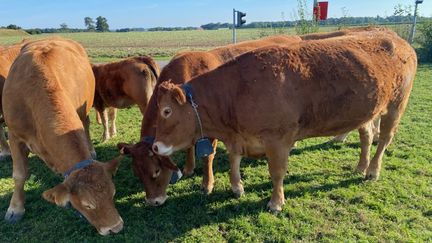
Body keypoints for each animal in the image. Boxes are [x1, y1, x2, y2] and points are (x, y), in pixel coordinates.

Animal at [3, 37, 124, 234]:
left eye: (113, 194)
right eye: (87, 205)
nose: (116, 227)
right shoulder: (14, 135)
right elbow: (19, 175)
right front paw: (15, 209)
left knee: (86, 125)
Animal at [116, 34, 302, 205]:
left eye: (156, 171)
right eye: (137, 173)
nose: (153, 201)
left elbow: (207, 157)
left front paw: (207, 184)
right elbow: (188, 147)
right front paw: (189, 168)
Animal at [153, 29, 418, 213]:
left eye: (166, 111)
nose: (155, 146)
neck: (236, 92)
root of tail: (396, 38)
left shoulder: (278, 139)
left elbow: (277, 172)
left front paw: (276, 202)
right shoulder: (237, 137)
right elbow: (234, 160)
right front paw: (237, 187)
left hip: (396, 106)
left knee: (383, 139)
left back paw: (372, 170)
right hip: (367, 112)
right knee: (367, 136)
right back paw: (361, 166)